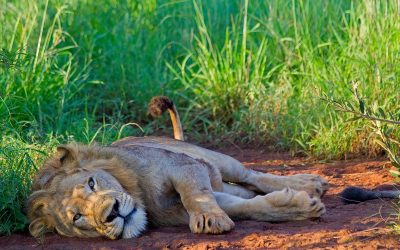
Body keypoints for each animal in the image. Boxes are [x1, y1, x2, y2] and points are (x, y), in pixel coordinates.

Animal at [26, 96, 330, 239]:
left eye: (92, 183)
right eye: (77, 217)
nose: (112, 212)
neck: (142, 197)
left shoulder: (182, 165)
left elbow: (195, 193)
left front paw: (210, 220)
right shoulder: (183, 208)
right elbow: (250, 207)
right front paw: (299, 207)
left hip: (214, 158)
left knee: (253, 176)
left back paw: (310, 182)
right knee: (245, 189)